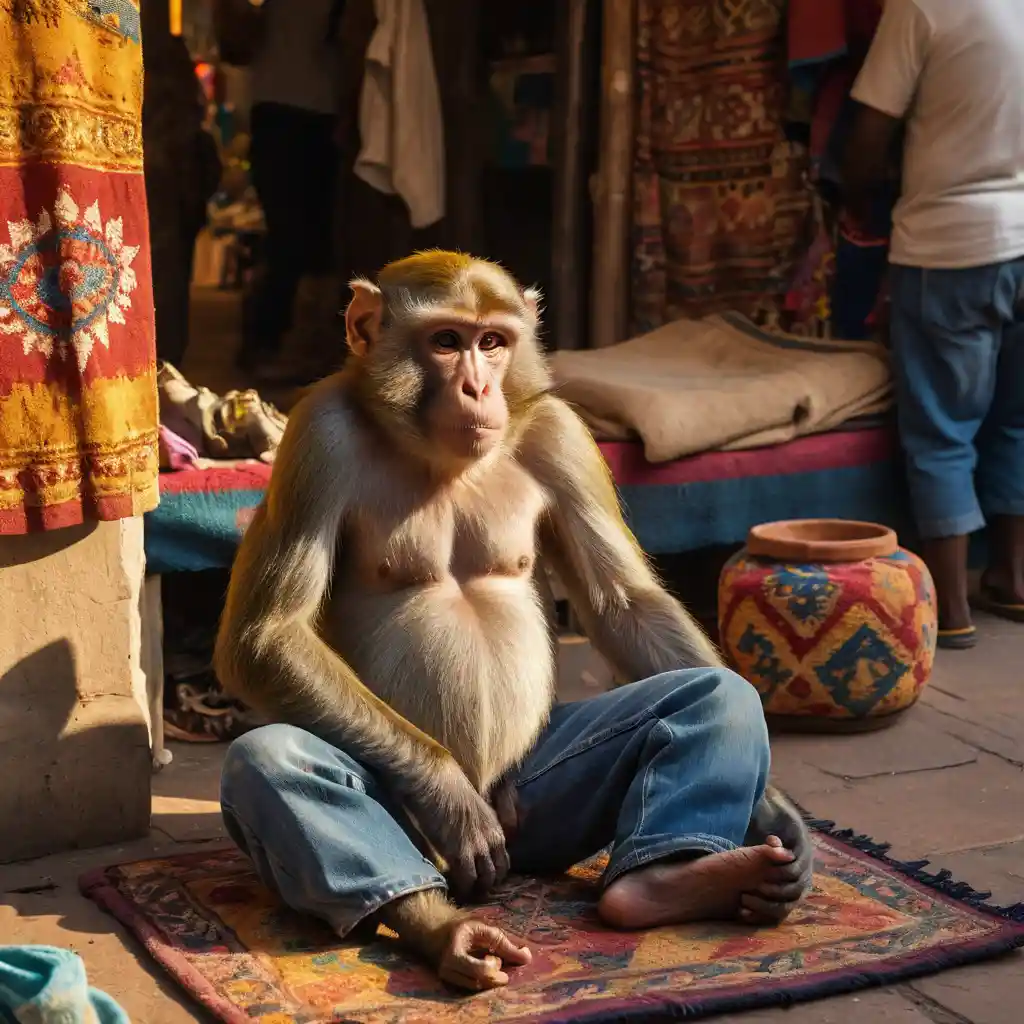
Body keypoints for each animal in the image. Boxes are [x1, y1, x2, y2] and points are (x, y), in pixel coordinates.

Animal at [214, 250, 814, 993]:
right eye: (447, 342)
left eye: (494, 342)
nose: (478, 387)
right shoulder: (317, 436)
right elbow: (267, 636)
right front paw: (447, 793)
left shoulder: (560, 432)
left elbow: (622, 600)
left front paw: (777, 811)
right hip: (433, 838)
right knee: (272, 759)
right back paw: (443, 924)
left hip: (539, 802)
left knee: (716, 693)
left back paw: (671, 883)